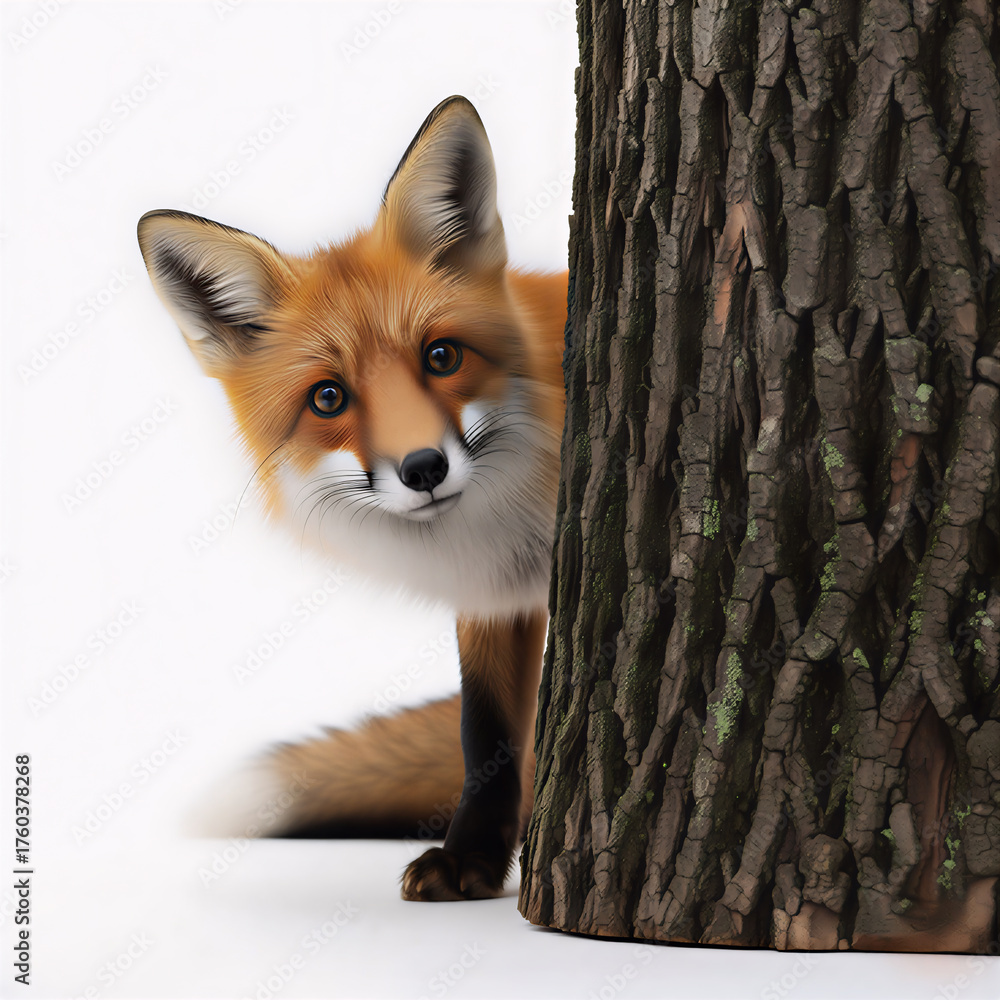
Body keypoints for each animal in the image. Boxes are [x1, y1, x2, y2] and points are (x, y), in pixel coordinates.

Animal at [137, 96, 568, 901]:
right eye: (329, 398)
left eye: (442, 356)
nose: (424, 468)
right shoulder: (496, 594)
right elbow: (488, 734)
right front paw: (473, 855)